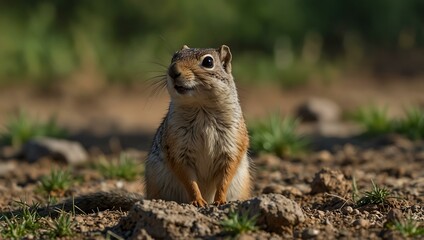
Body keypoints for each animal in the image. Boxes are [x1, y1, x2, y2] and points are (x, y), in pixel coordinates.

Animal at [4, 45, 252, 218]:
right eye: (174, 57)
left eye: (208, 62)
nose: (173, 71)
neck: (201, 109)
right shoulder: (177, 148)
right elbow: (188, 178)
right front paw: (198, 201)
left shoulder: (232, 144)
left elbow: (226, 174)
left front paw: (219, 201)